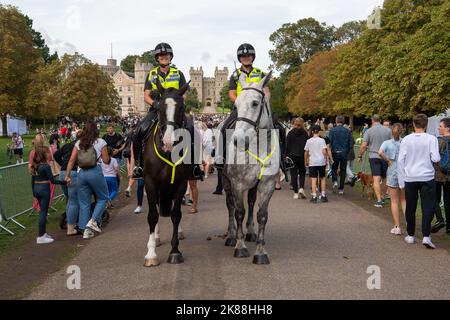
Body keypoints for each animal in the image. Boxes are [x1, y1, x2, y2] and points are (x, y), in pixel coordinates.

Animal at [143, 81, 191, 266]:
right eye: (160, 107)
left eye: (182, 107)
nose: (169, 142)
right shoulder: (150, 183)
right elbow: (152, 216)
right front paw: (151, 254)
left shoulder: (180, 183)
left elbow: (176, 215)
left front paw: (175, 251)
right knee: (156, 210)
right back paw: (155, 238)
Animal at [221, 72, 280, 264]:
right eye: (236, 105)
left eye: (255, 103)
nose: (238, 140)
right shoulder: (237, 183)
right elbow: (239, 211)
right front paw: (240, 246)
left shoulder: (267, 184)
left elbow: (261, 215)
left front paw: (260, 251)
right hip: (226, 181)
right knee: (230, 205)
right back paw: (231, 235)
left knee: (252, 202)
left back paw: (251, 232)